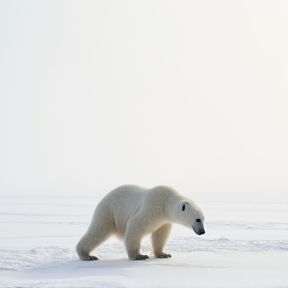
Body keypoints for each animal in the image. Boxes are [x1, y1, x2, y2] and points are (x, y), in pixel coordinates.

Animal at [76, 184, 205, 260]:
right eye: (197, 219)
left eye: (203, 219)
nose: (202, 231)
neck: (166, 202)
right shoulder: (153, 207)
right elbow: (135, 224)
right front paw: (139, 255)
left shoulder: (164, 220)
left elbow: (160, 234)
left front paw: (163, 254)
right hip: (108, 211)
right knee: (98, 231)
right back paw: (87, 255)